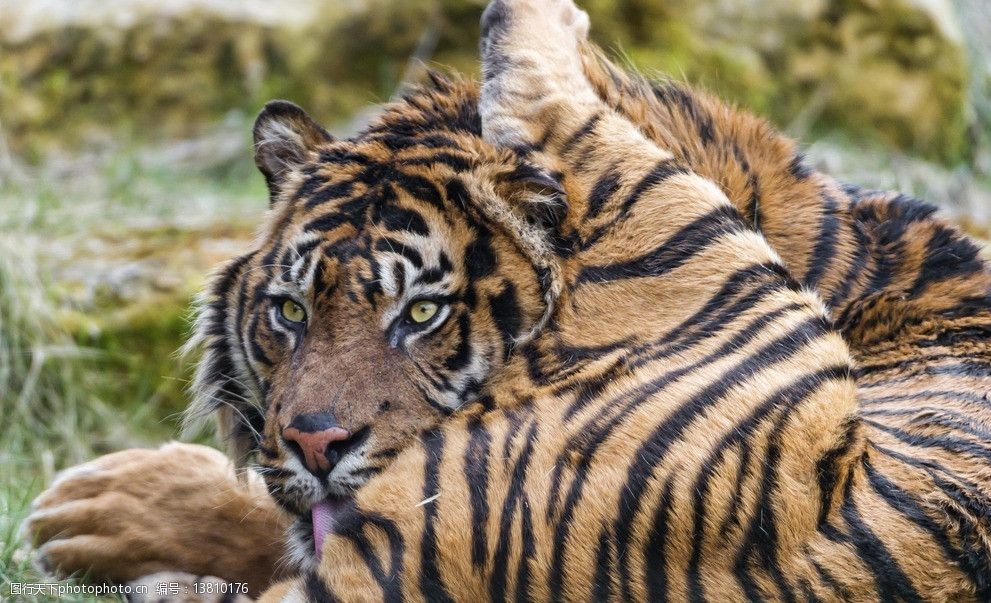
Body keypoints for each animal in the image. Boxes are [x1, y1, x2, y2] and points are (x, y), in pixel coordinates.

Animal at [27, 1, 991, 600]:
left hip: (677, 229)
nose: (315, 442)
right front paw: (89, 505)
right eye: (290, 313)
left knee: (556, 103)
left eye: (421, 315)